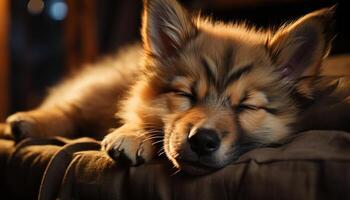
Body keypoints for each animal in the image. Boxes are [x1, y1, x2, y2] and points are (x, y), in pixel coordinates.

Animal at [6, 0, 336, 175]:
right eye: (185, 95)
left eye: (247, 107)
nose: (203, 140)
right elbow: (142, 116)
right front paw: (134, 134)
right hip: (105, 88)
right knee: (70, 106)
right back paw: (27, 121)